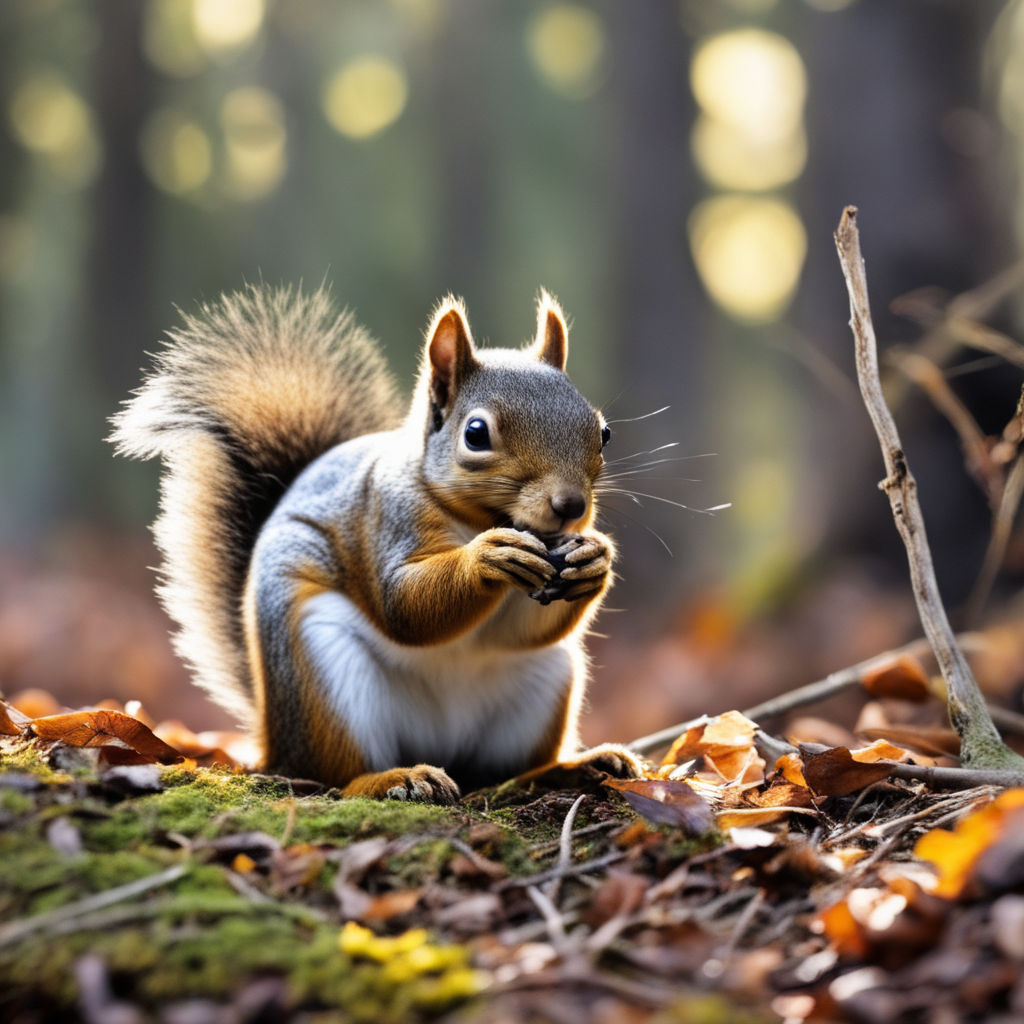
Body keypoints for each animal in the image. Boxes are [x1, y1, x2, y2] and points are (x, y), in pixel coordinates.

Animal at [112, 284, 638, 802]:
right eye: (475, 433)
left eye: (603, 432)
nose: (571, 505)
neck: (480, 519)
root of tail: (273, 738)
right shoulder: (386, 517)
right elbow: (402, 604)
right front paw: (486, 559)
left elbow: (522, 631)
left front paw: (595, 559)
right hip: (323, 672)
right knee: (339, 776)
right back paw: (395, 778)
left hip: (544, 681)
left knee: (504, 772)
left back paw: (573, 768)